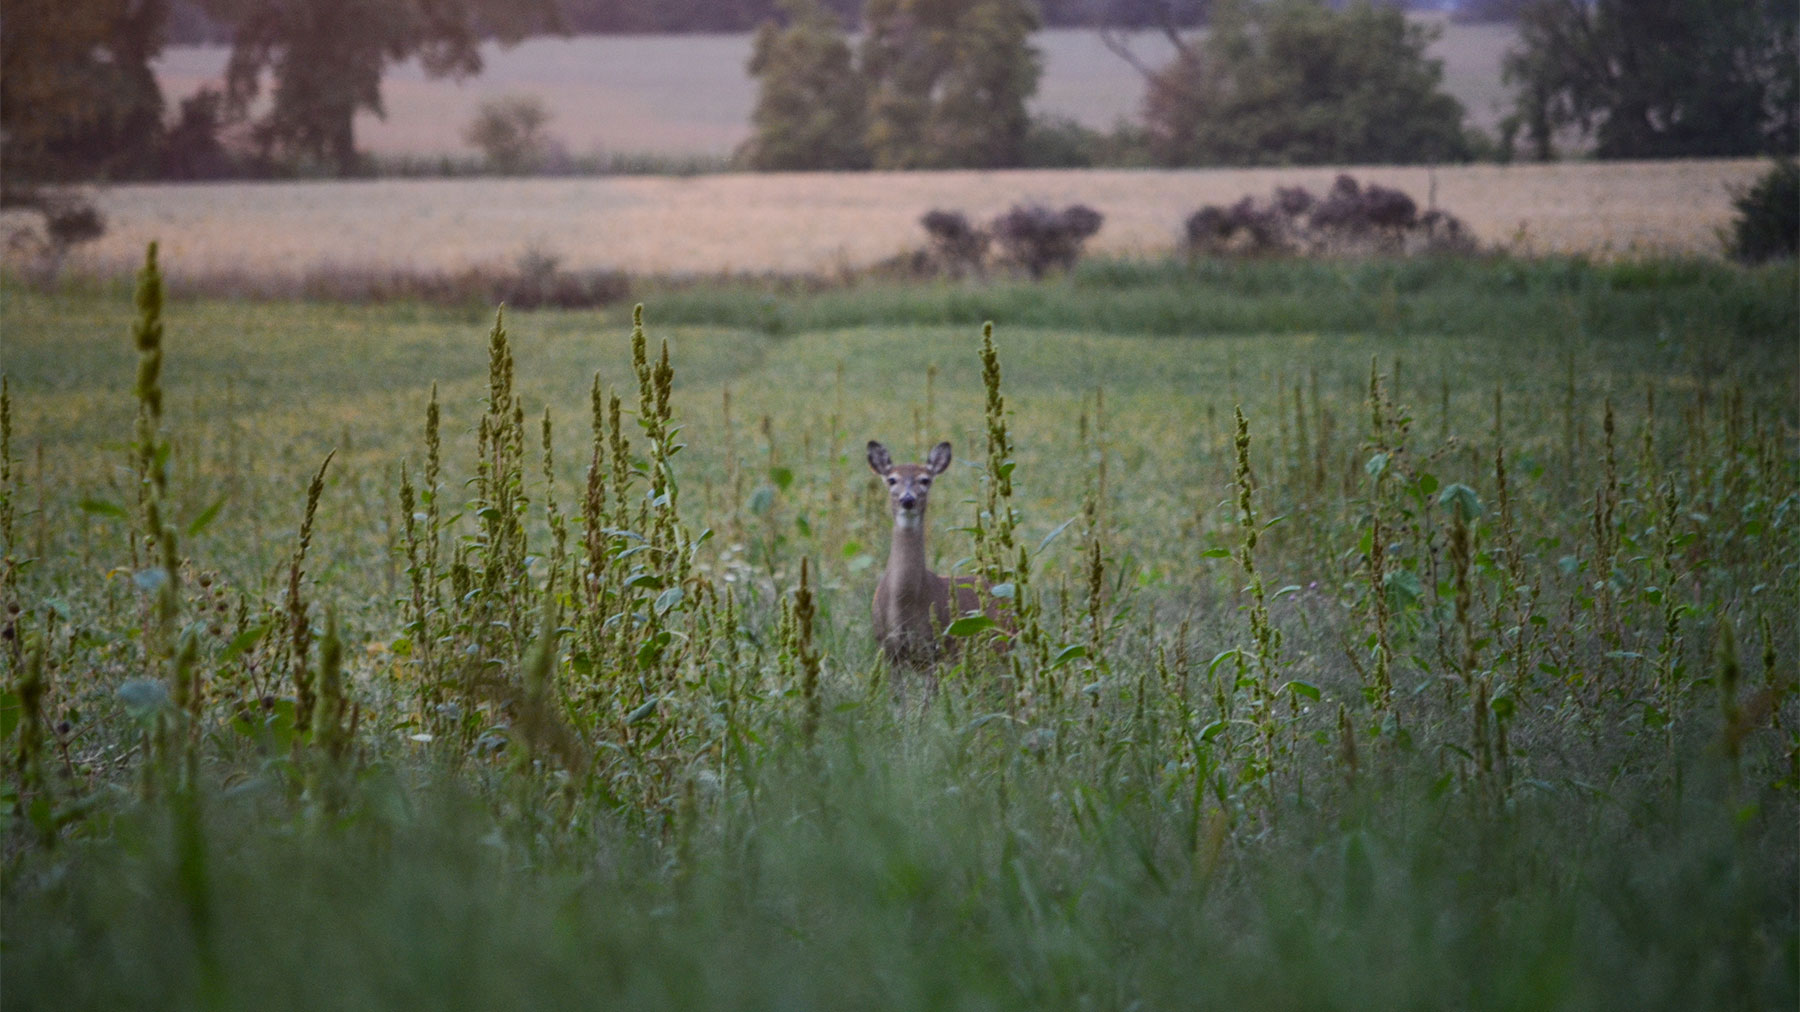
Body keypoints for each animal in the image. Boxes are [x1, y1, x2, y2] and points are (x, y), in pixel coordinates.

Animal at [866, 439, 1007, 668]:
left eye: (925, 480)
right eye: (892, 479)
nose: (908, 499)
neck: (904, 604)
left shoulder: (933, 648)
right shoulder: (888, 649)